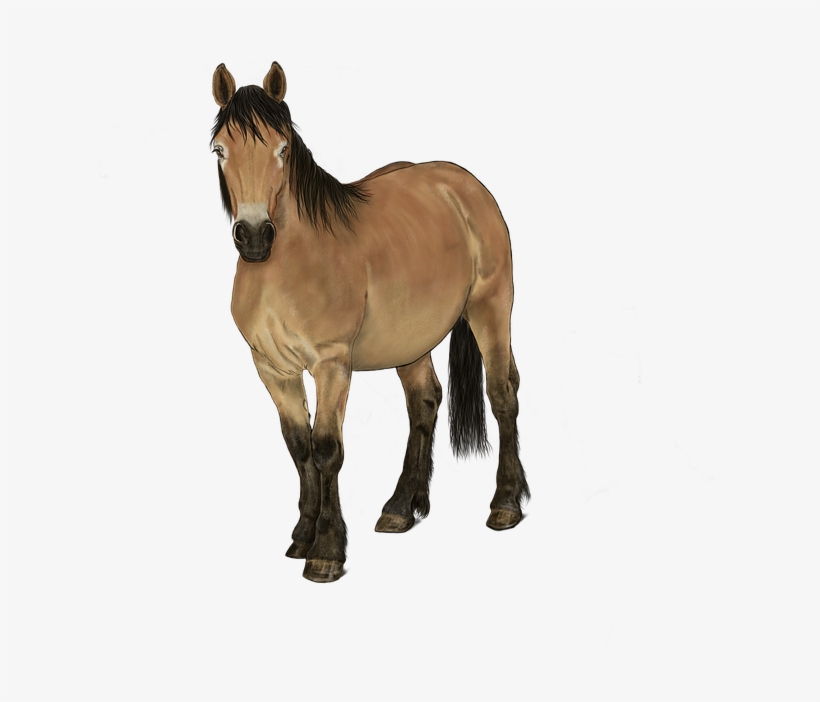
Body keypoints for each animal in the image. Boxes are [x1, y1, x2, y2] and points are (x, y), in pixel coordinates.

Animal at [210, 62, 529, 583]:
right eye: (220, 150)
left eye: (282, 148)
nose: (255, 236)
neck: (289, 265)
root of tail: (463, 184)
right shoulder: (271, 369)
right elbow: (298, 447)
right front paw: (302, 534)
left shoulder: (332, 364)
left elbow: (326, 449)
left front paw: (326, 551)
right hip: (411, 339)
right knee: (425, 402)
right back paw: (400, 508)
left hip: (491, 309)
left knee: (503, 394)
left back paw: (505, 505)